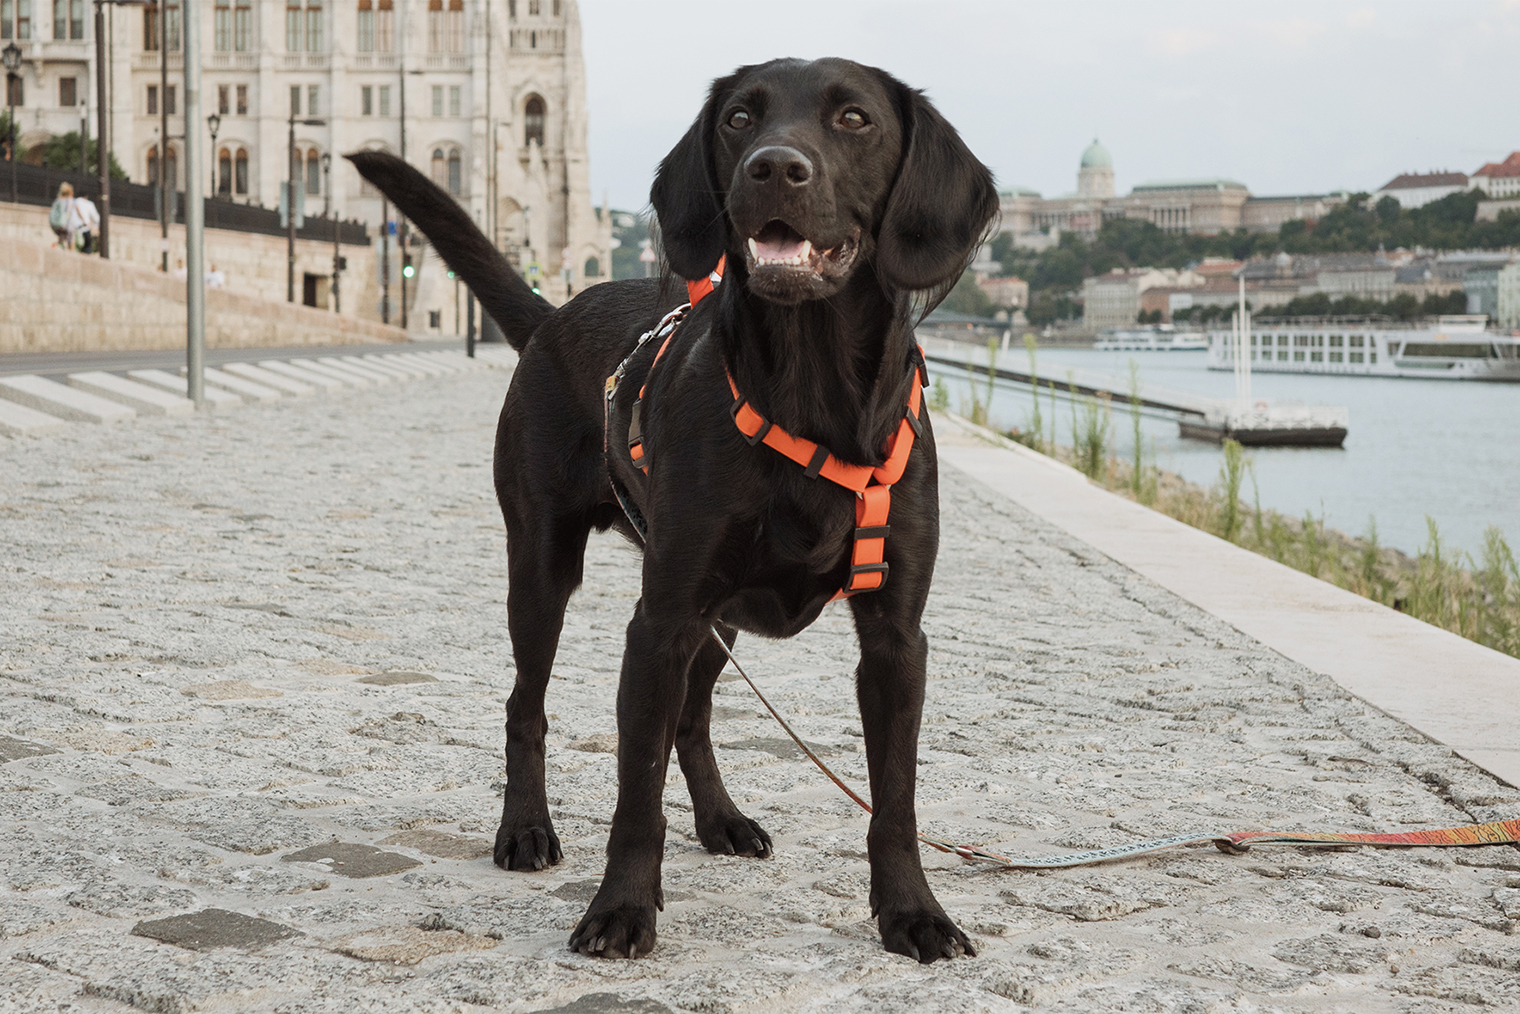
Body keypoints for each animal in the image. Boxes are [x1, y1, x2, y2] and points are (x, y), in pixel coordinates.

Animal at [351, 57, 1003, 966]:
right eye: (737, 118)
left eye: (854, 118)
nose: (774, 167)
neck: (808, 390)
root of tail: (555, 311)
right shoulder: (657, 623)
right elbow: (636, 793)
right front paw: (622, 908)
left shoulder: (896, 639)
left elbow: (895, 800)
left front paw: (913, 912)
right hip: (544, 570)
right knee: (527, 705)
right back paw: (526, 830)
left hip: (719, 618)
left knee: (693, 719)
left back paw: (720, 819)